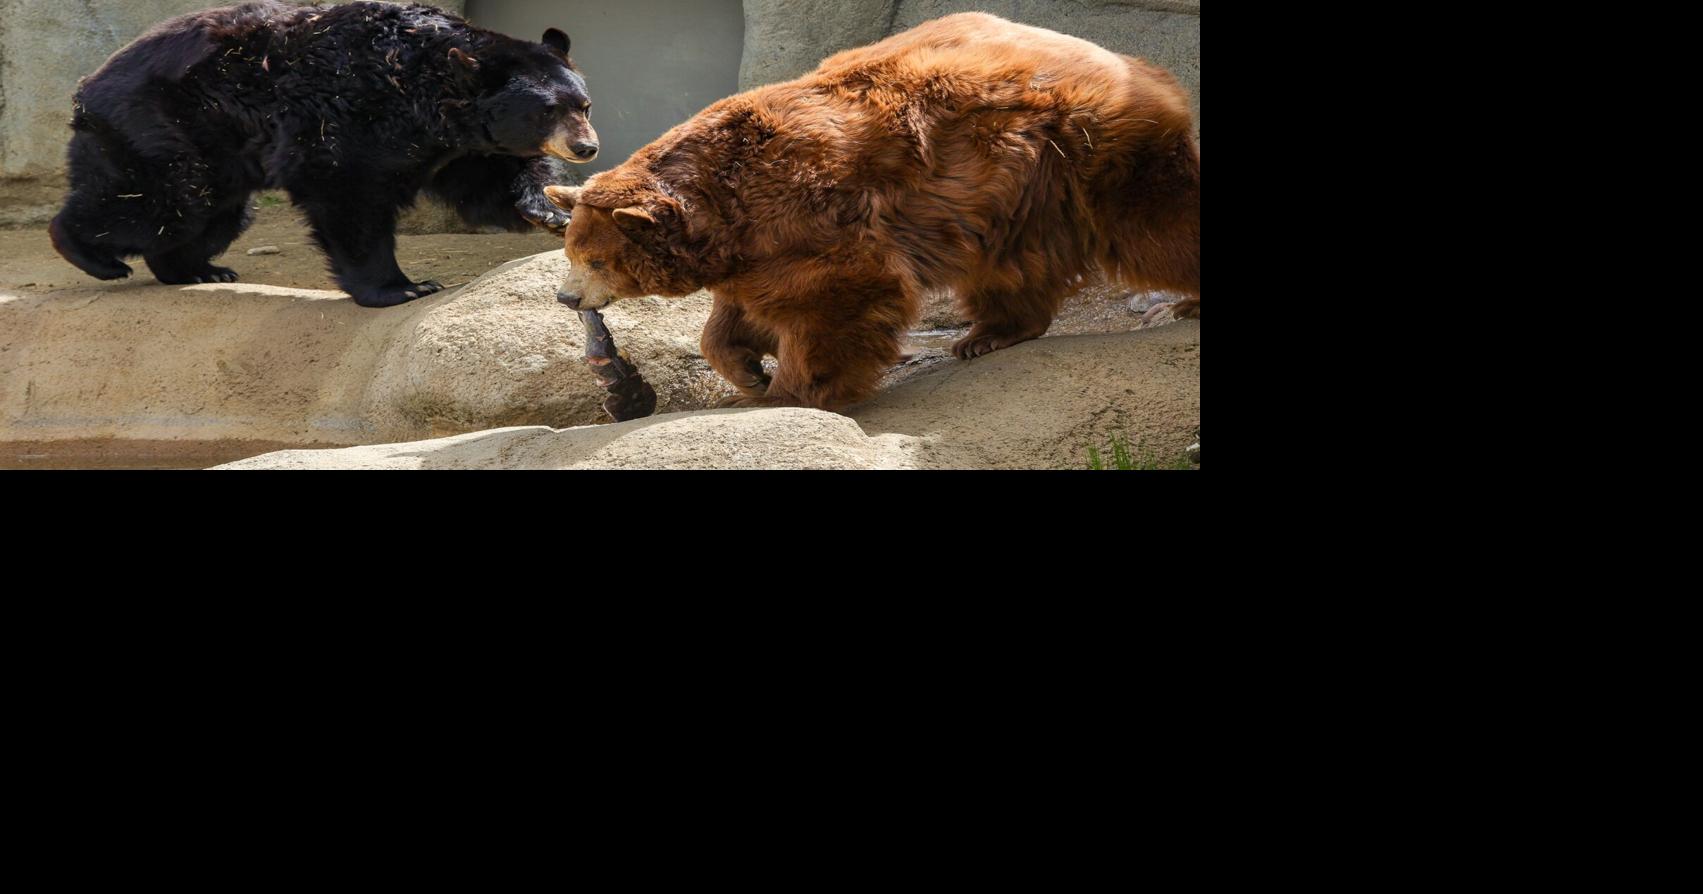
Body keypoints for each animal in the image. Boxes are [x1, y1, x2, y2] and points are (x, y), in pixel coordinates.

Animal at [48, 1, 599, 308]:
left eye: (583, 104)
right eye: (546, 111)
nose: (586, 146)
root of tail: (86, 88)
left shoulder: (456, 144)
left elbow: (488, 181)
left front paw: (547, 209)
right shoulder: (351, 115)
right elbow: (347, 194)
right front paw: (402, 288)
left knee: (212, 216)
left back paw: (197, 270)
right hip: (164, 126)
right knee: (161, 202)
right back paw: (91, 253)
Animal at [545, 12, 1199, 411]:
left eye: (594, 259)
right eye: (573, 251)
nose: (566, 297)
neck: (718, 208)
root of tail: (1124, 58)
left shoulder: (804, 216)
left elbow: (833, 297)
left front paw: (786, 389)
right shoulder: (752, 247)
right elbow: (737, 314)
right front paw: (747, 372)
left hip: (1086, 148)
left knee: (1155, 223)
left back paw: (1182, 300)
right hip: (1018, 187)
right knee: (1011, 262)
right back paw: (987, 335)